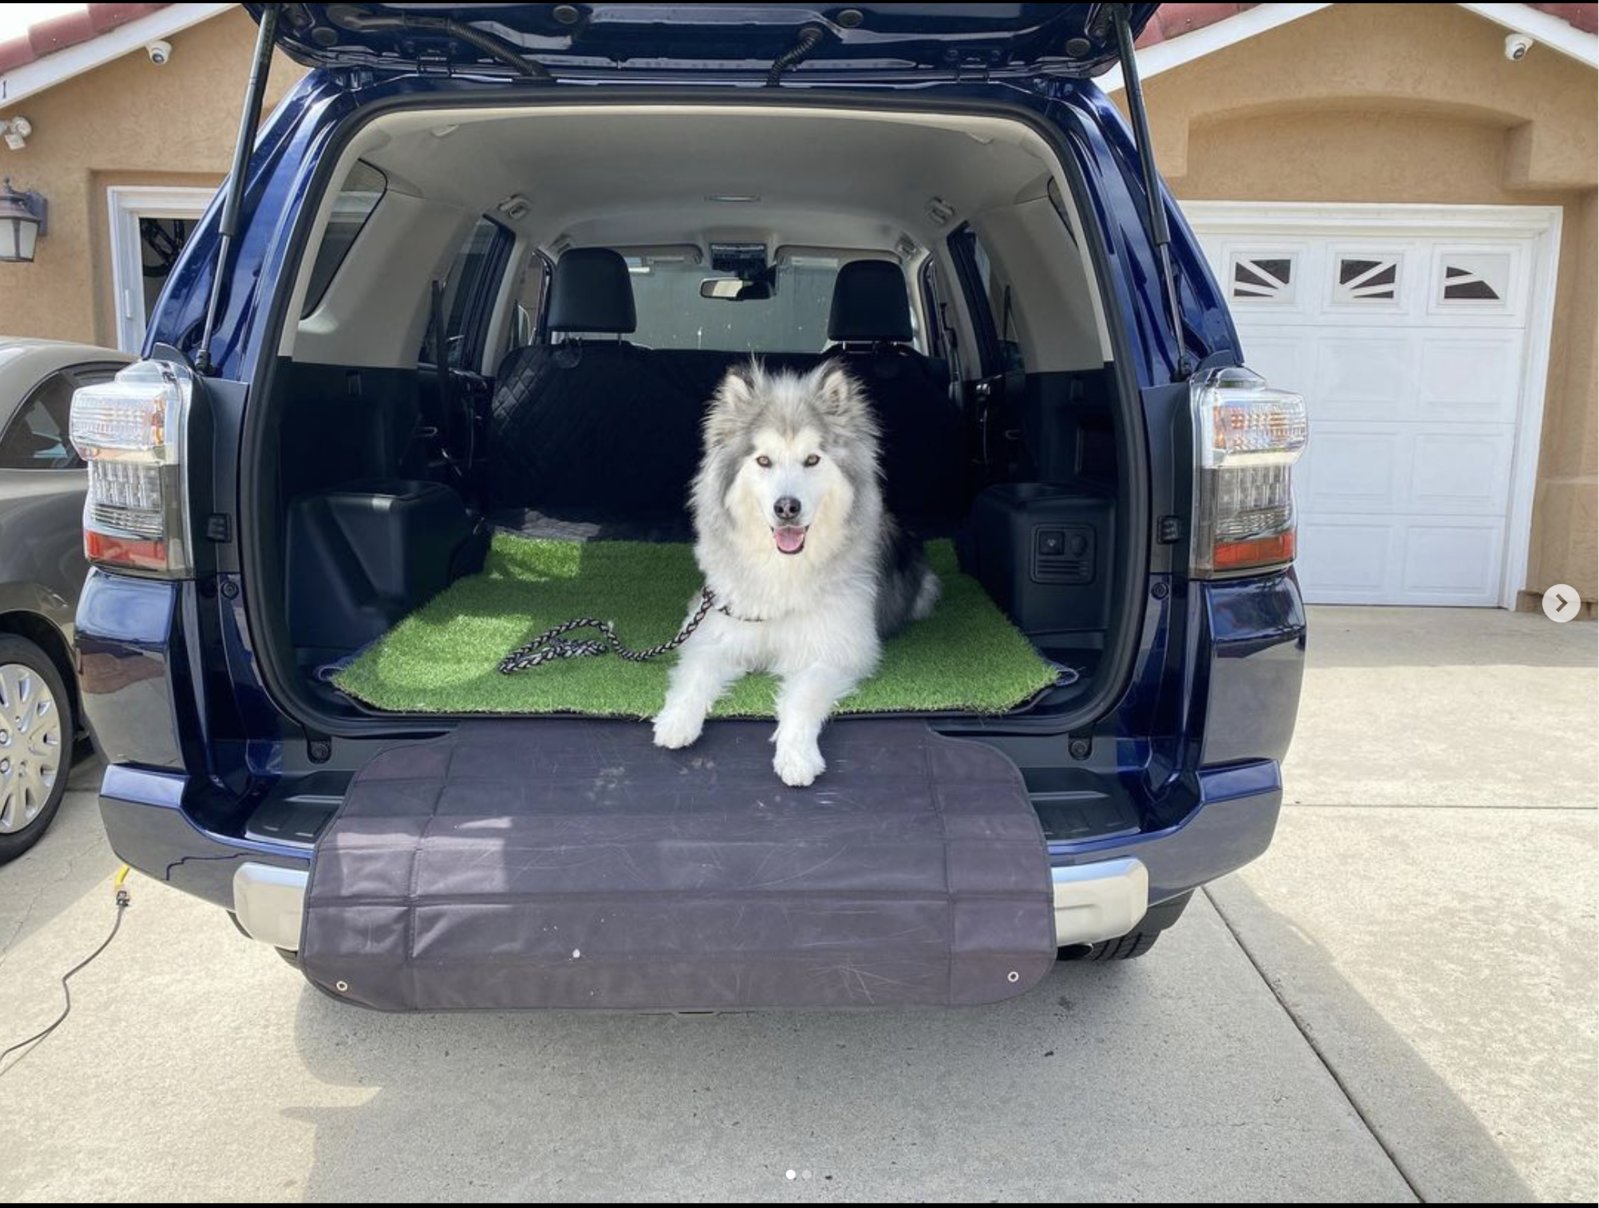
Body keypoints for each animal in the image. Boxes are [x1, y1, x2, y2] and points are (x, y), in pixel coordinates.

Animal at [655, 358, 940, 784]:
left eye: (812, 459)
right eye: (763, 460)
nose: (786, 507)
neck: (784, 569)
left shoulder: (835, 651)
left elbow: (802, 700)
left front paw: (796, 756)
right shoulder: (711, 626)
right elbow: (695, 674)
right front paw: (675, 721)